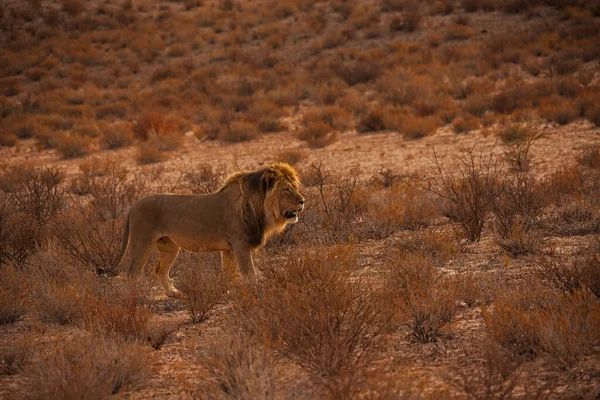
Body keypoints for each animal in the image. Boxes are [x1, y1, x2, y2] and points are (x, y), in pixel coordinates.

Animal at [115, 162, 308, 296]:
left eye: (296, 187)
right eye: (286, 190)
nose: (302, 201)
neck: (259, 208)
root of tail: (134, 204)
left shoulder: (229, 249)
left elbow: (229, 273)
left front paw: (230, 293)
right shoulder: (240, 245)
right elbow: (249, 273)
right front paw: (255, 292)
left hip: (169, 246)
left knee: (160, 270)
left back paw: (173, 293)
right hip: (142, 243)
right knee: (132, 273)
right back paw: (135, 300)